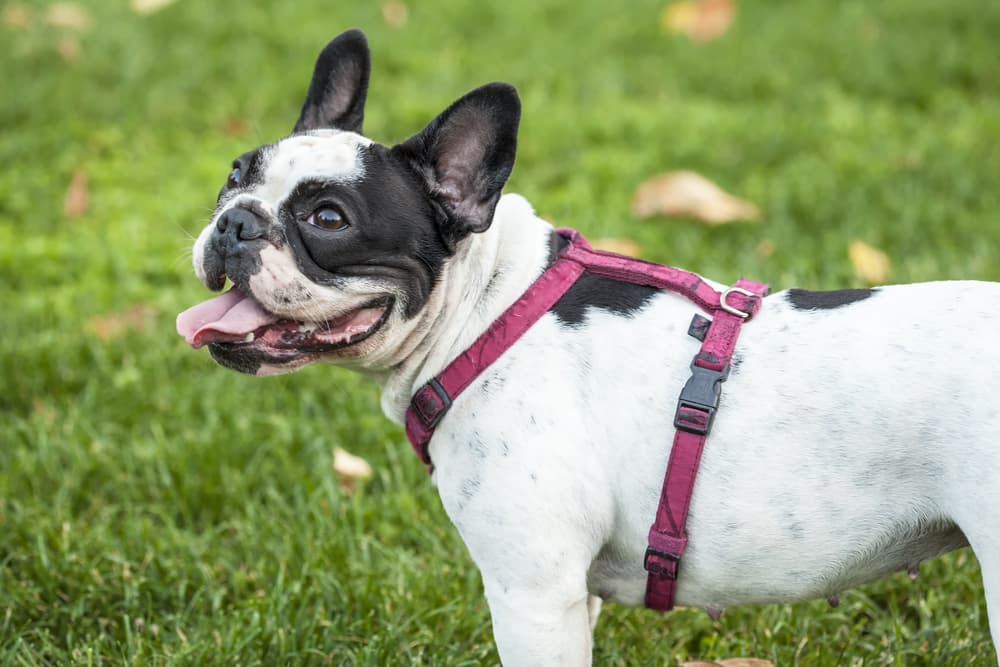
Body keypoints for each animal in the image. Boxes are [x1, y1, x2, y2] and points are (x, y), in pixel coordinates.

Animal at [176, 28, 996, 664]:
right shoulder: (572, 596)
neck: (491, 313)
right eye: (234, 175)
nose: (236, 221)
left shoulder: (531, 592)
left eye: (328, 218)